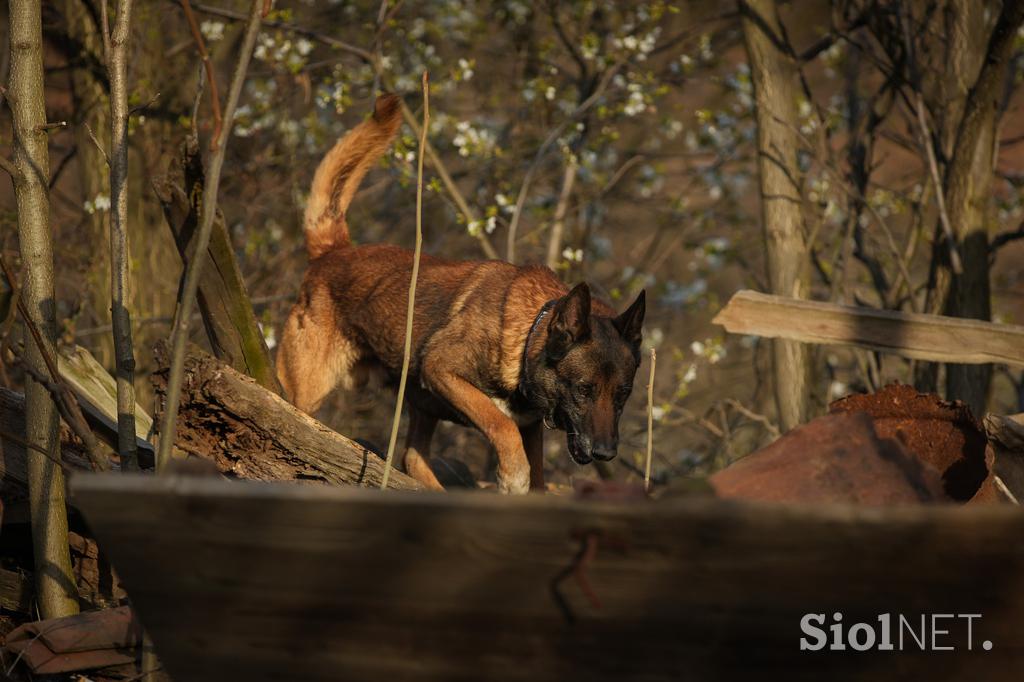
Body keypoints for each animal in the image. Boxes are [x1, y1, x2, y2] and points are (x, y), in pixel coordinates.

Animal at [276, 93, 643, 491]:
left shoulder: (530, 427)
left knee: (411, 457)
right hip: (309, 391)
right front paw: (513, 476)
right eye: (583, 390)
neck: (529, 334)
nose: (606, 453)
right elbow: (501, 423)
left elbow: (536, 470)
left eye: (622, 396)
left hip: (419, 407)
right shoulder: (443, 370)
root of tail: (333, 250)